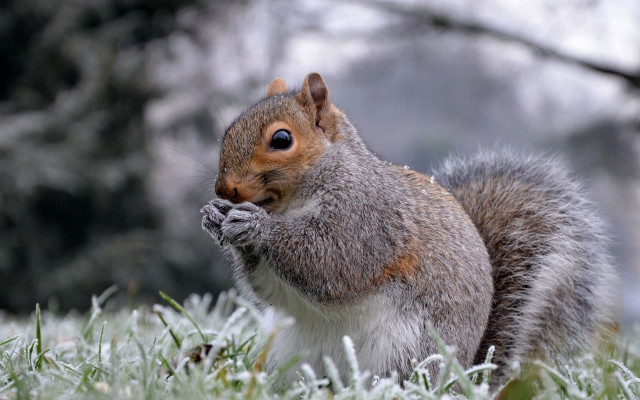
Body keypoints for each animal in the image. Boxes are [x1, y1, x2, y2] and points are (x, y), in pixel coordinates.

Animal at [201, 72, 618, 386]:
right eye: (228, 131)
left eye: (282, 139)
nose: (225, 190)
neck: (294, 202)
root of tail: (463, 378)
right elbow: (270, 289)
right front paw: (214, 215)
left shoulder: (367, 220)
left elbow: (330, 262)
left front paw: (256, 226)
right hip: (291, 353)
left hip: (405, 353)